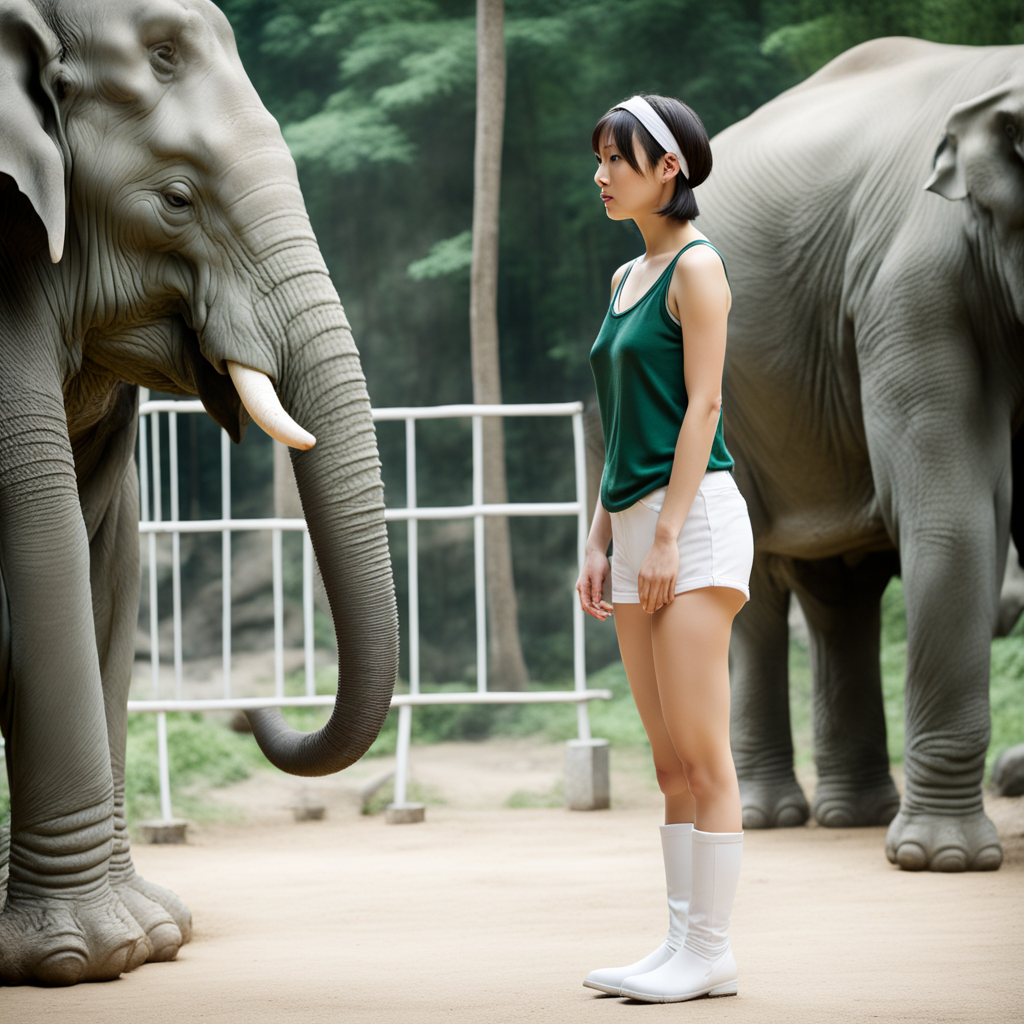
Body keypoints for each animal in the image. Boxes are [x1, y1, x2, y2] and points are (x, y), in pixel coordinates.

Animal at [0, 0, 398, 985]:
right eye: (176, 201)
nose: (254, 712)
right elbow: (42, 524)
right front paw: (85, 957)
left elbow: (107, 545)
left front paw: (155, 934)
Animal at [696, 37, 1024, 871]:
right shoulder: (916, 287)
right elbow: (957, 513)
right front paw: (943, 862)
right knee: (752, 583)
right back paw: (768, 818)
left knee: (841, 589)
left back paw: (855, 816)